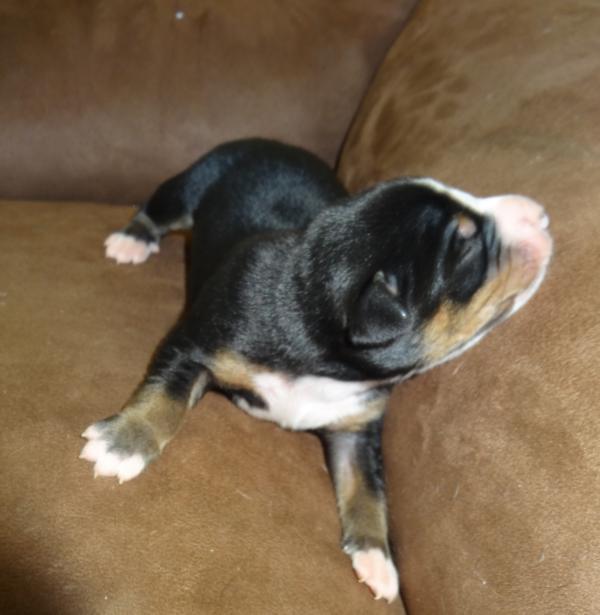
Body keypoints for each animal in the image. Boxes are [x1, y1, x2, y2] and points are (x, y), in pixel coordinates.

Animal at [80, 138, 552, 603]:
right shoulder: (196, 344)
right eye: (468, 246)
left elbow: (367, 487)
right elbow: (166, 395)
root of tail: (272, 142)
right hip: (194, 181)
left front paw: (376, 558)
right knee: (159, 206)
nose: (542, 214)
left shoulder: (357, 428)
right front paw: (122, 445)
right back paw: (131, 241)